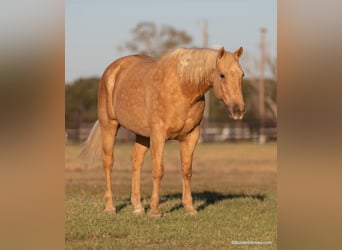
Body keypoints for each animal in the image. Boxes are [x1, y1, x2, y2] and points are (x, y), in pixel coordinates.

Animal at [81, 47, 244, 217]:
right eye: (222, 75)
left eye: (242, 75)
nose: (238, 110)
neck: (183, 88)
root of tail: (112, 70)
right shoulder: (159, 135)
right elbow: (158, 171)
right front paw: (155, 211)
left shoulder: (191, 136)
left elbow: (187, 171)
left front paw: (190, 208)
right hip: (109, 126)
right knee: (108, 162)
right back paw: (110, 207)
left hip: (142, 135)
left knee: (136, 161)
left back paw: (138, 207)